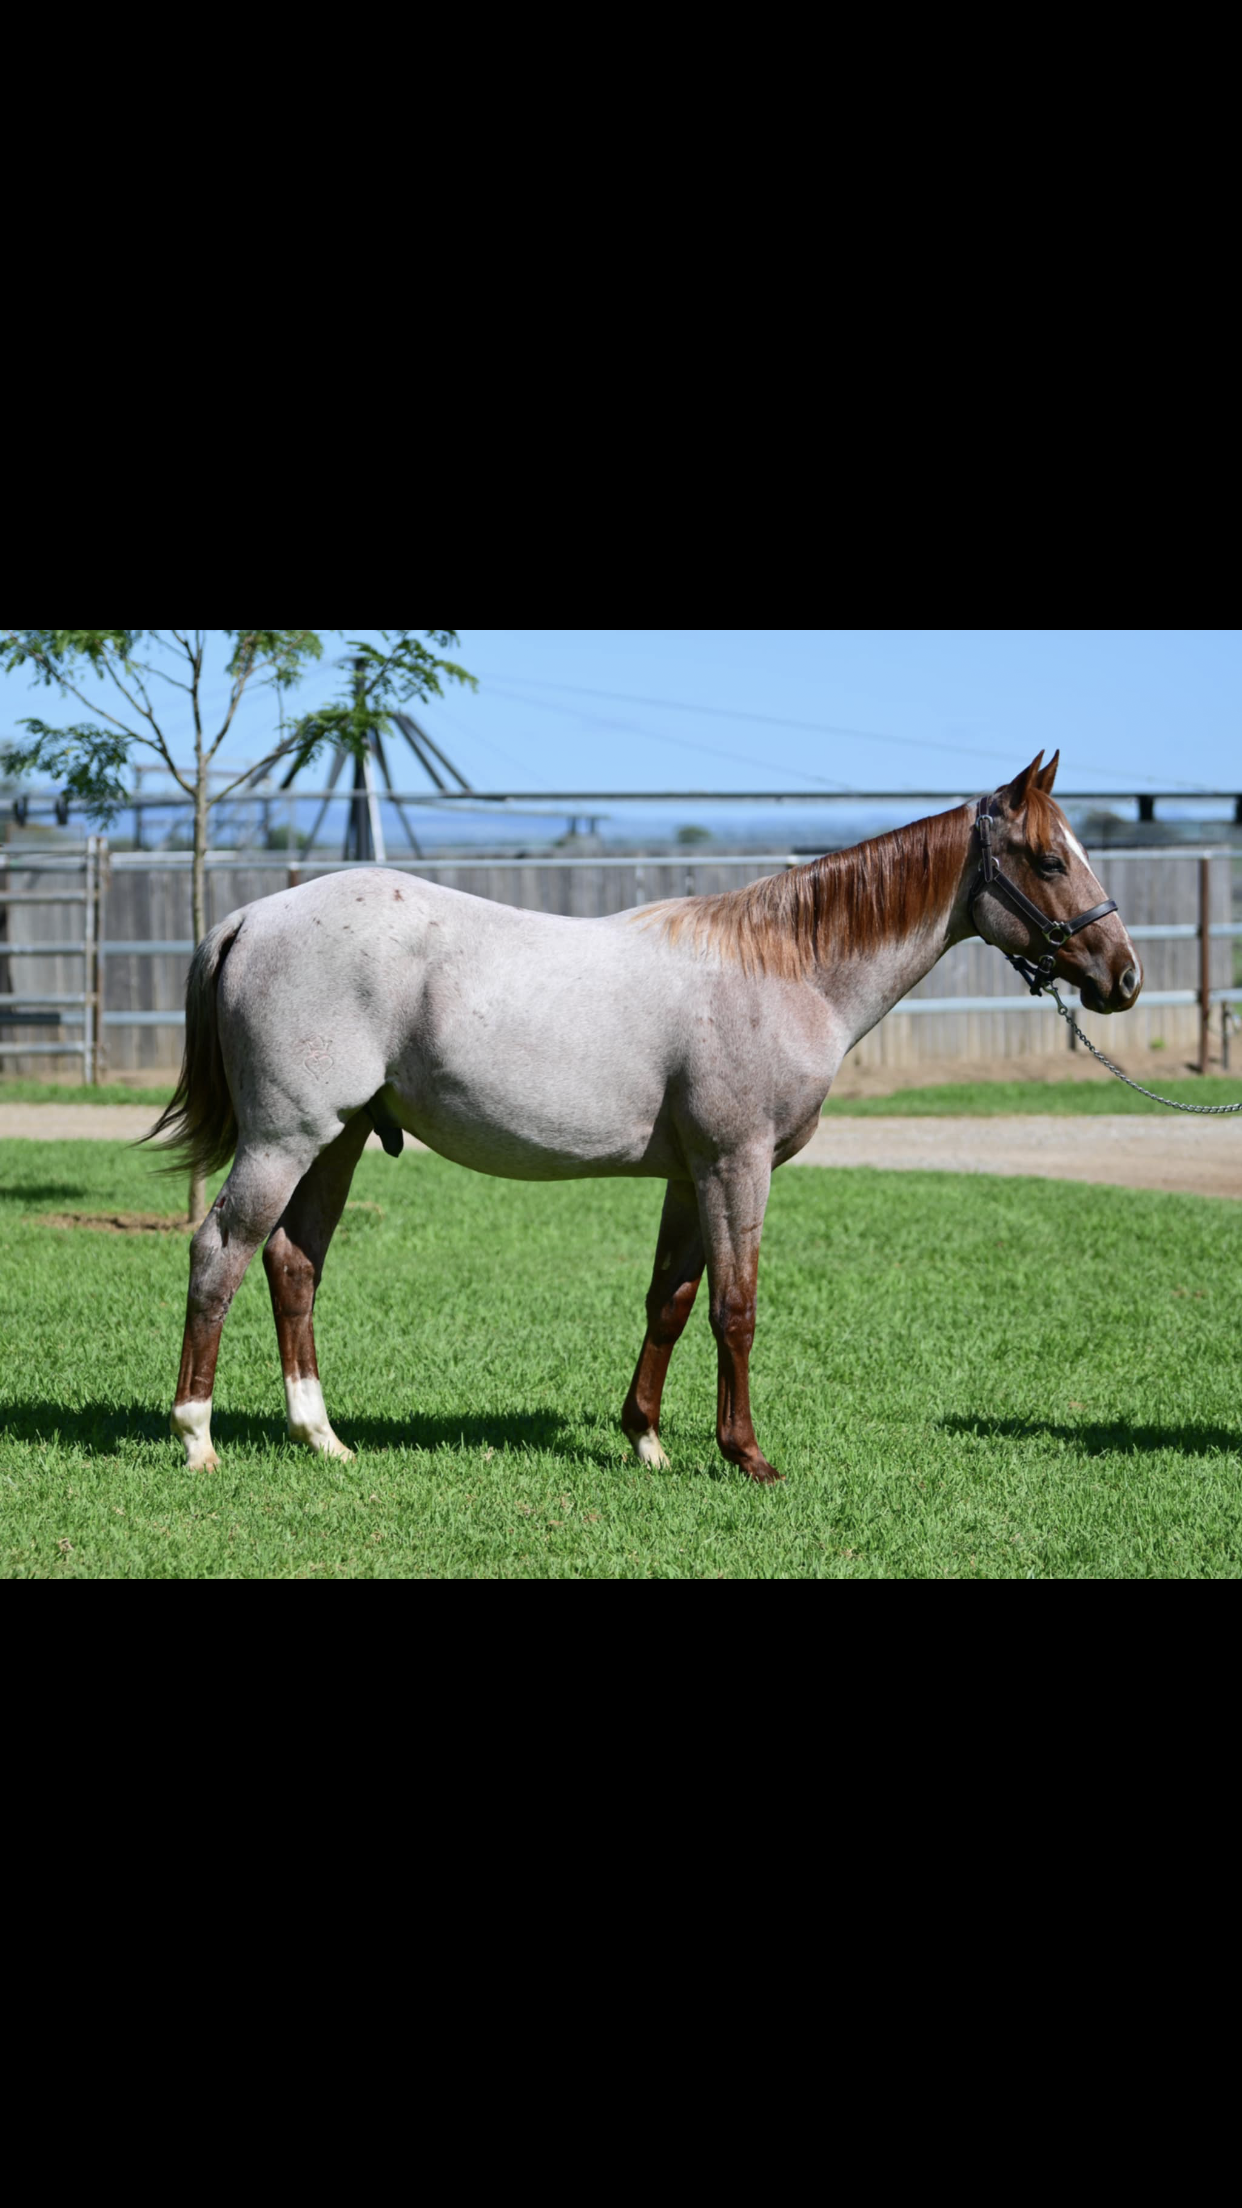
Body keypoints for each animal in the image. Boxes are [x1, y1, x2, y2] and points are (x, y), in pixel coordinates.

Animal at [149, 751, 1140, 1483]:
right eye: (1050, 859)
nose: (1122, 976)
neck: (783, 969)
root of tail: (251, 916)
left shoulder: (688, 1175)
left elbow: (671, 1300)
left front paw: (647, 1440)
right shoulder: (736, 1164)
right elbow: (736, 1308)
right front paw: (746, 1455)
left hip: (341, 1141)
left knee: (293, 1264)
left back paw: (321, 1437)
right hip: (286, 1140)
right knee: (220, 1252)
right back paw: (197, 1436)